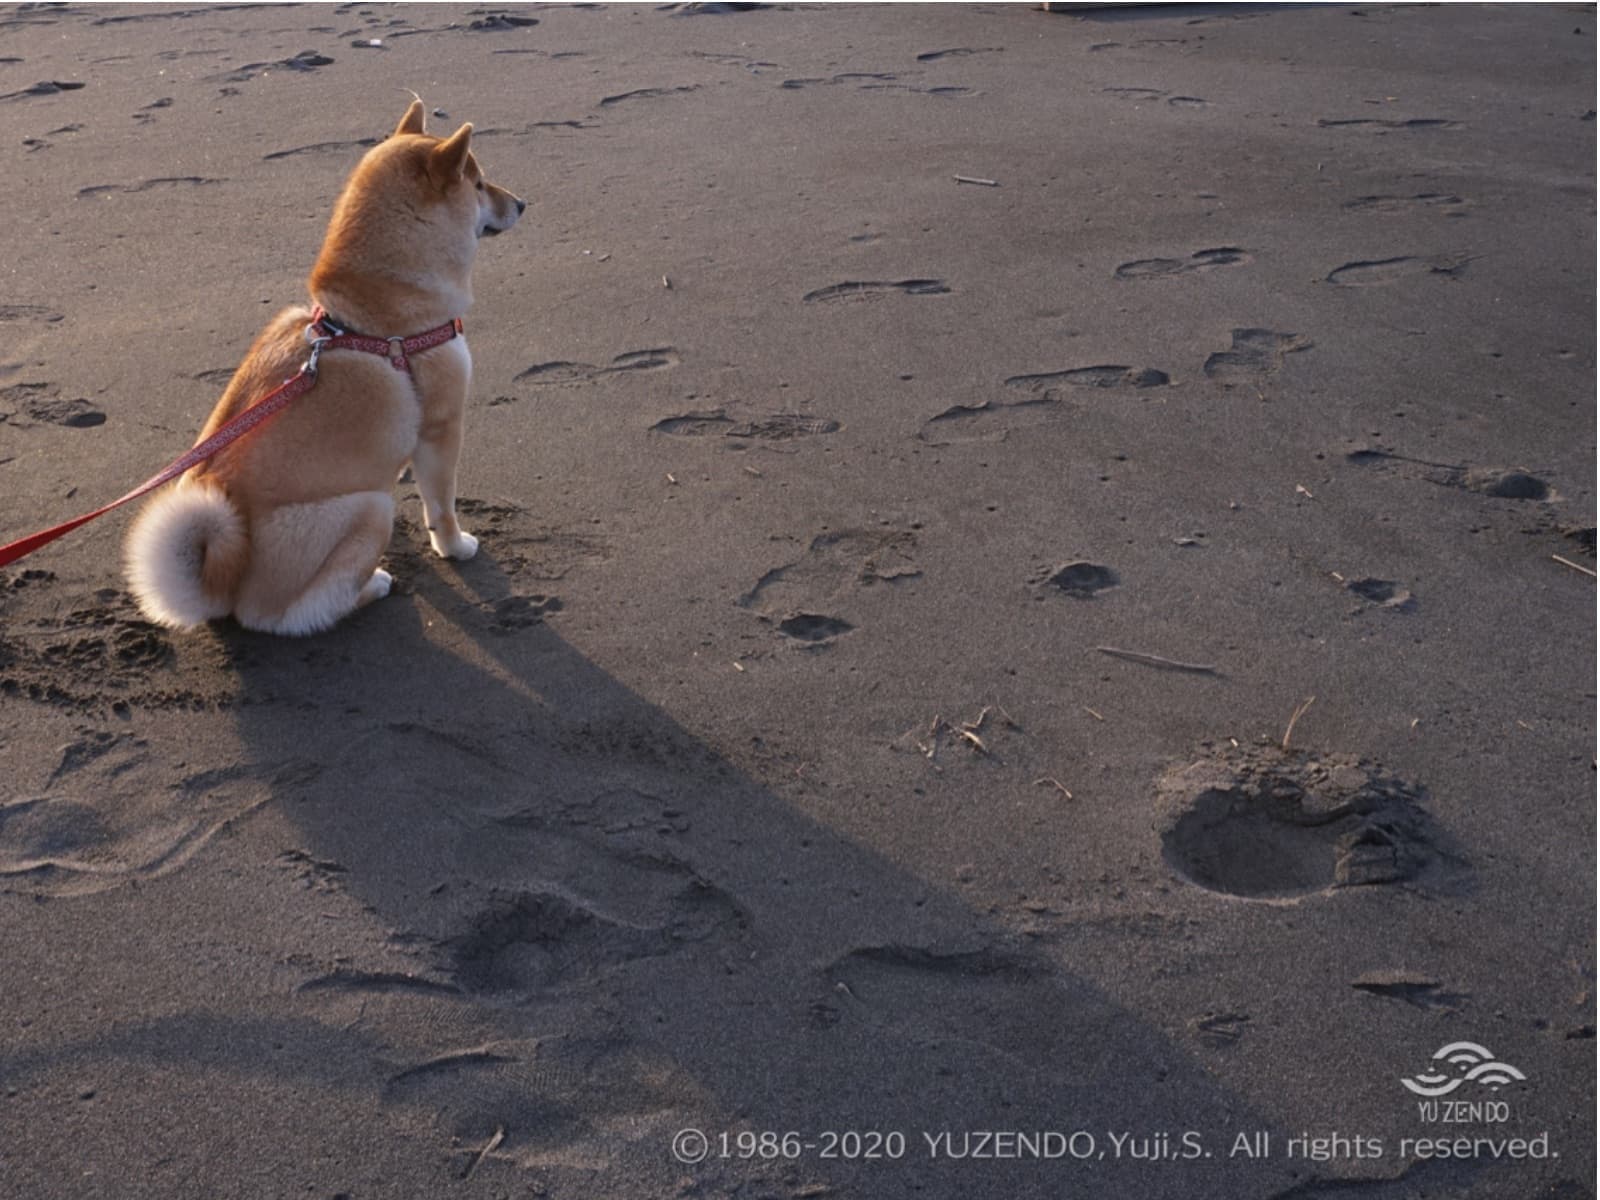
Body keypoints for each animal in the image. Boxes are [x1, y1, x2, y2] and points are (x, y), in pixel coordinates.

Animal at [127, 101, 524, 640]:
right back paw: (372, 585)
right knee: (285, 615)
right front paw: (456, 547)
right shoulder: (442, 428)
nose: (522, 203)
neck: (371, 315)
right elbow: (442, 506)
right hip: (368, 512)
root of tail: (222, 582)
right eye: (479, 185)